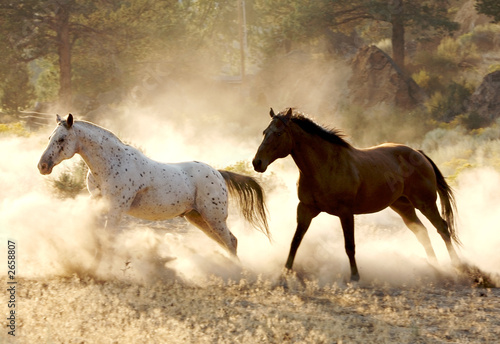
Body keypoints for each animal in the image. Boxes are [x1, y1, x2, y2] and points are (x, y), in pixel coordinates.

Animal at [254, 108, 460, 282]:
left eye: (278, 133)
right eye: (264, 132)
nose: (257, 162)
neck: (325, 165)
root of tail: (418, 153)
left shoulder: (346, 213)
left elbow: (349, 245)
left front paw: (355, 276)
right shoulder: (306, 209)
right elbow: (295, 241)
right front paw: (285, 272)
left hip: (424, 202)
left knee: (442, 228)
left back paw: (457, 265)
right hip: (403, 206)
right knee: (422, 232)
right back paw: (434, 266)